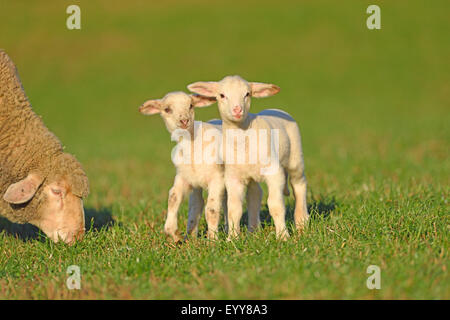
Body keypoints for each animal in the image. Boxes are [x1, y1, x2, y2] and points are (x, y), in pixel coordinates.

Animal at [139, 90, 262, 240]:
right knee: (201, 203)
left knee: (254, 194)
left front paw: (212, 239)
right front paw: (173, 234)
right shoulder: (183, 177)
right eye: (167, 109)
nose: (184, 121)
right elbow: (173, 198)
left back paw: (254, 230)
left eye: (191, 105)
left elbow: (212, 209)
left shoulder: (217, 178)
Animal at [187, 75, 310, 240]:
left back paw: (302, 222)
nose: (237, 110)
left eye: (247, 94)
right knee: (255, 194)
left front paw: (283, 236)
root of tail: (276, 110)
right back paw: (253, 230)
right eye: (222, 95)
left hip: (295, 157)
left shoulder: (274, 172)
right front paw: (232, 238)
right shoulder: (233, 177)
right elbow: (234, 209)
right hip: (252, 175)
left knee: (299, 184)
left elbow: (275, 205)